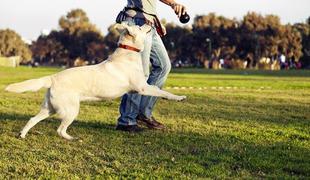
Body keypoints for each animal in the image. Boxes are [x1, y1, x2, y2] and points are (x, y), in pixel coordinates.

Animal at [5, 23, 186, 140]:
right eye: (140, 27)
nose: (151, 23)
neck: (128, 53)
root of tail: (53, 77)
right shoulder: (143, 88)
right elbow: (162, 91)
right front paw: (179, 98)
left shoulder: (140, 89)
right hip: (71, 110)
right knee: (60, 130)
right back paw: (72, 138)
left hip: (49, 108)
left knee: (32, 119)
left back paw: (22, 135)